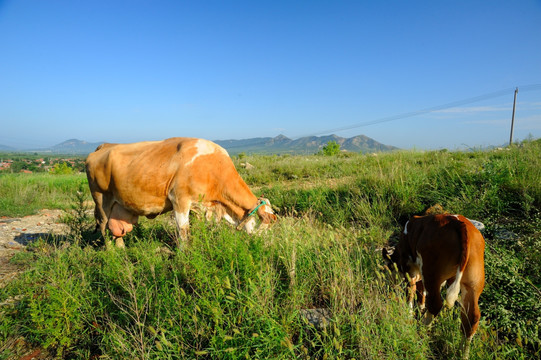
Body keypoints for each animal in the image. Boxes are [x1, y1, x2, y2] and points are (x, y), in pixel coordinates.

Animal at [86, 137, 276, 248]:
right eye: (266, 226)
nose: (268, 245)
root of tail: (104, 146)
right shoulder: (179, 199)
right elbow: (183, 231)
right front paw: (185, 256)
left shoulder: (200, 206)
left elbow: (196, 228)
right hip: (101, 198)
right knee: (104, 227)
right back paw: (112, 254)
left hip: (118, 204)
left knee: (115, 230)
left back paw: (122, 250)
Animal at [380, 215, 486, 358]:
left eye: (388, 268)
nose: (391, 285)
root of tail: (459, 223)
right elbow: (421, 290)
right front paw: (420, 307)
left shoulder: (409, 268)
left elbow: (412, 290)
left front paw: (409, 313)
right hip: (473, 284)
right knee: (471, 318)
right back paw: (462, 354)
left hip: (431, 271)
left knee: (436, 304)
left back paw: (423, 328)